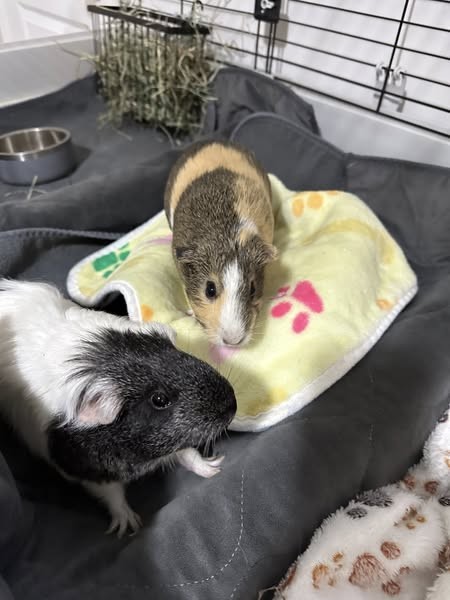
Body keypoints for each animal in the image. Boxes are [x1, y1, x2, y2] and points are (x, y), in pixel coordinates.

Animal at [0, 280, 236, 537]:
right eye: (159, 399)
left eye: (185, 357)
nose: (232, 405)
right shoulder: (91, 474)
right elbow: (113, 496)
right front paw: (128, 526)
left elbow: (188, 454)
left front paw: (214, 467)